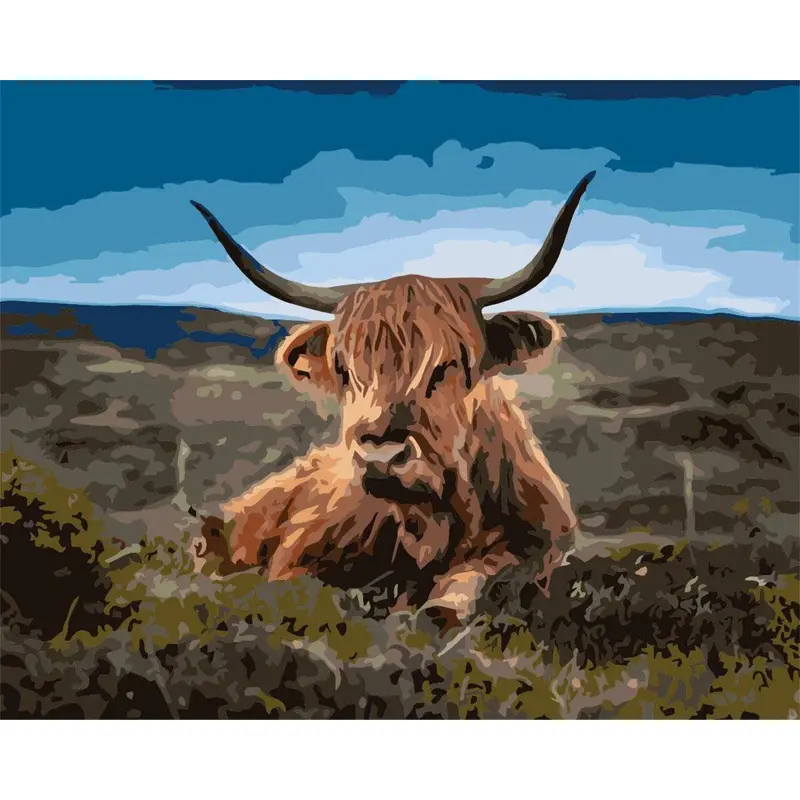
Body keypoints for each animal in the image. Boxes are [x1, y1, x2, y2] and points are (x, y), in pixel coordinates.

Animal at [188, 171, 595, 628]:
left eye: (450, 363)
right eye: (344, 369)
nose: (381, 453)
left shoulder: (540, 550)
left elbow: (469, 588)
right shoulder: (295, 558)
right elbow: (301, 589)